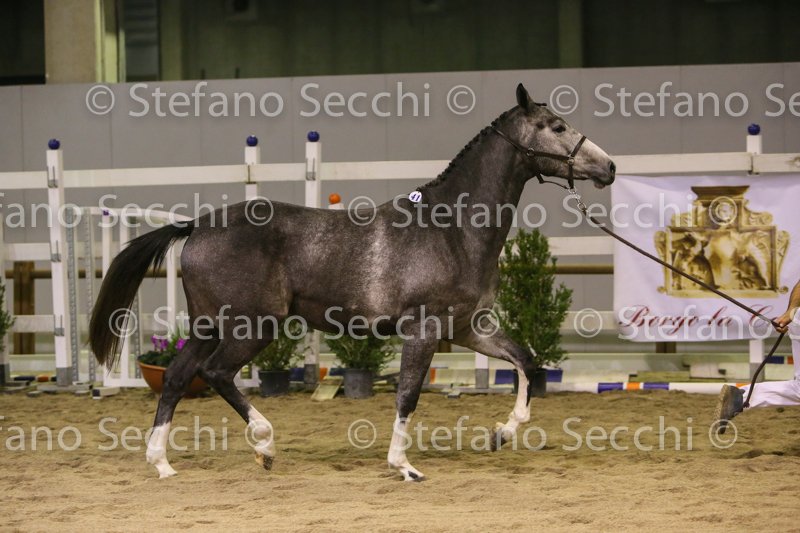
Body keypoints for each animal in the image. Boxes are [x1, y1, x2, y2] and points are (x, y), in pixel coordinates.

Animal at [89, 83, 615, 481]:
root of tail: (197, 225)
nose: (608, 167)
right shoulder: (423, 331)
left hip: (209, 324)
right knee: (215, 372)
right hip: (252, 325)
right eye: (557, 127)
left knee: (178, 376)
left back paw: (163, 463)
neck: (451, 228)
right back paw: (265, 446)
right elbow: (408, 395)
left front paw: (503, 433)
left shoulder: (469, 328)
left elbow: (526, 361)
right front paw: (404, 466)